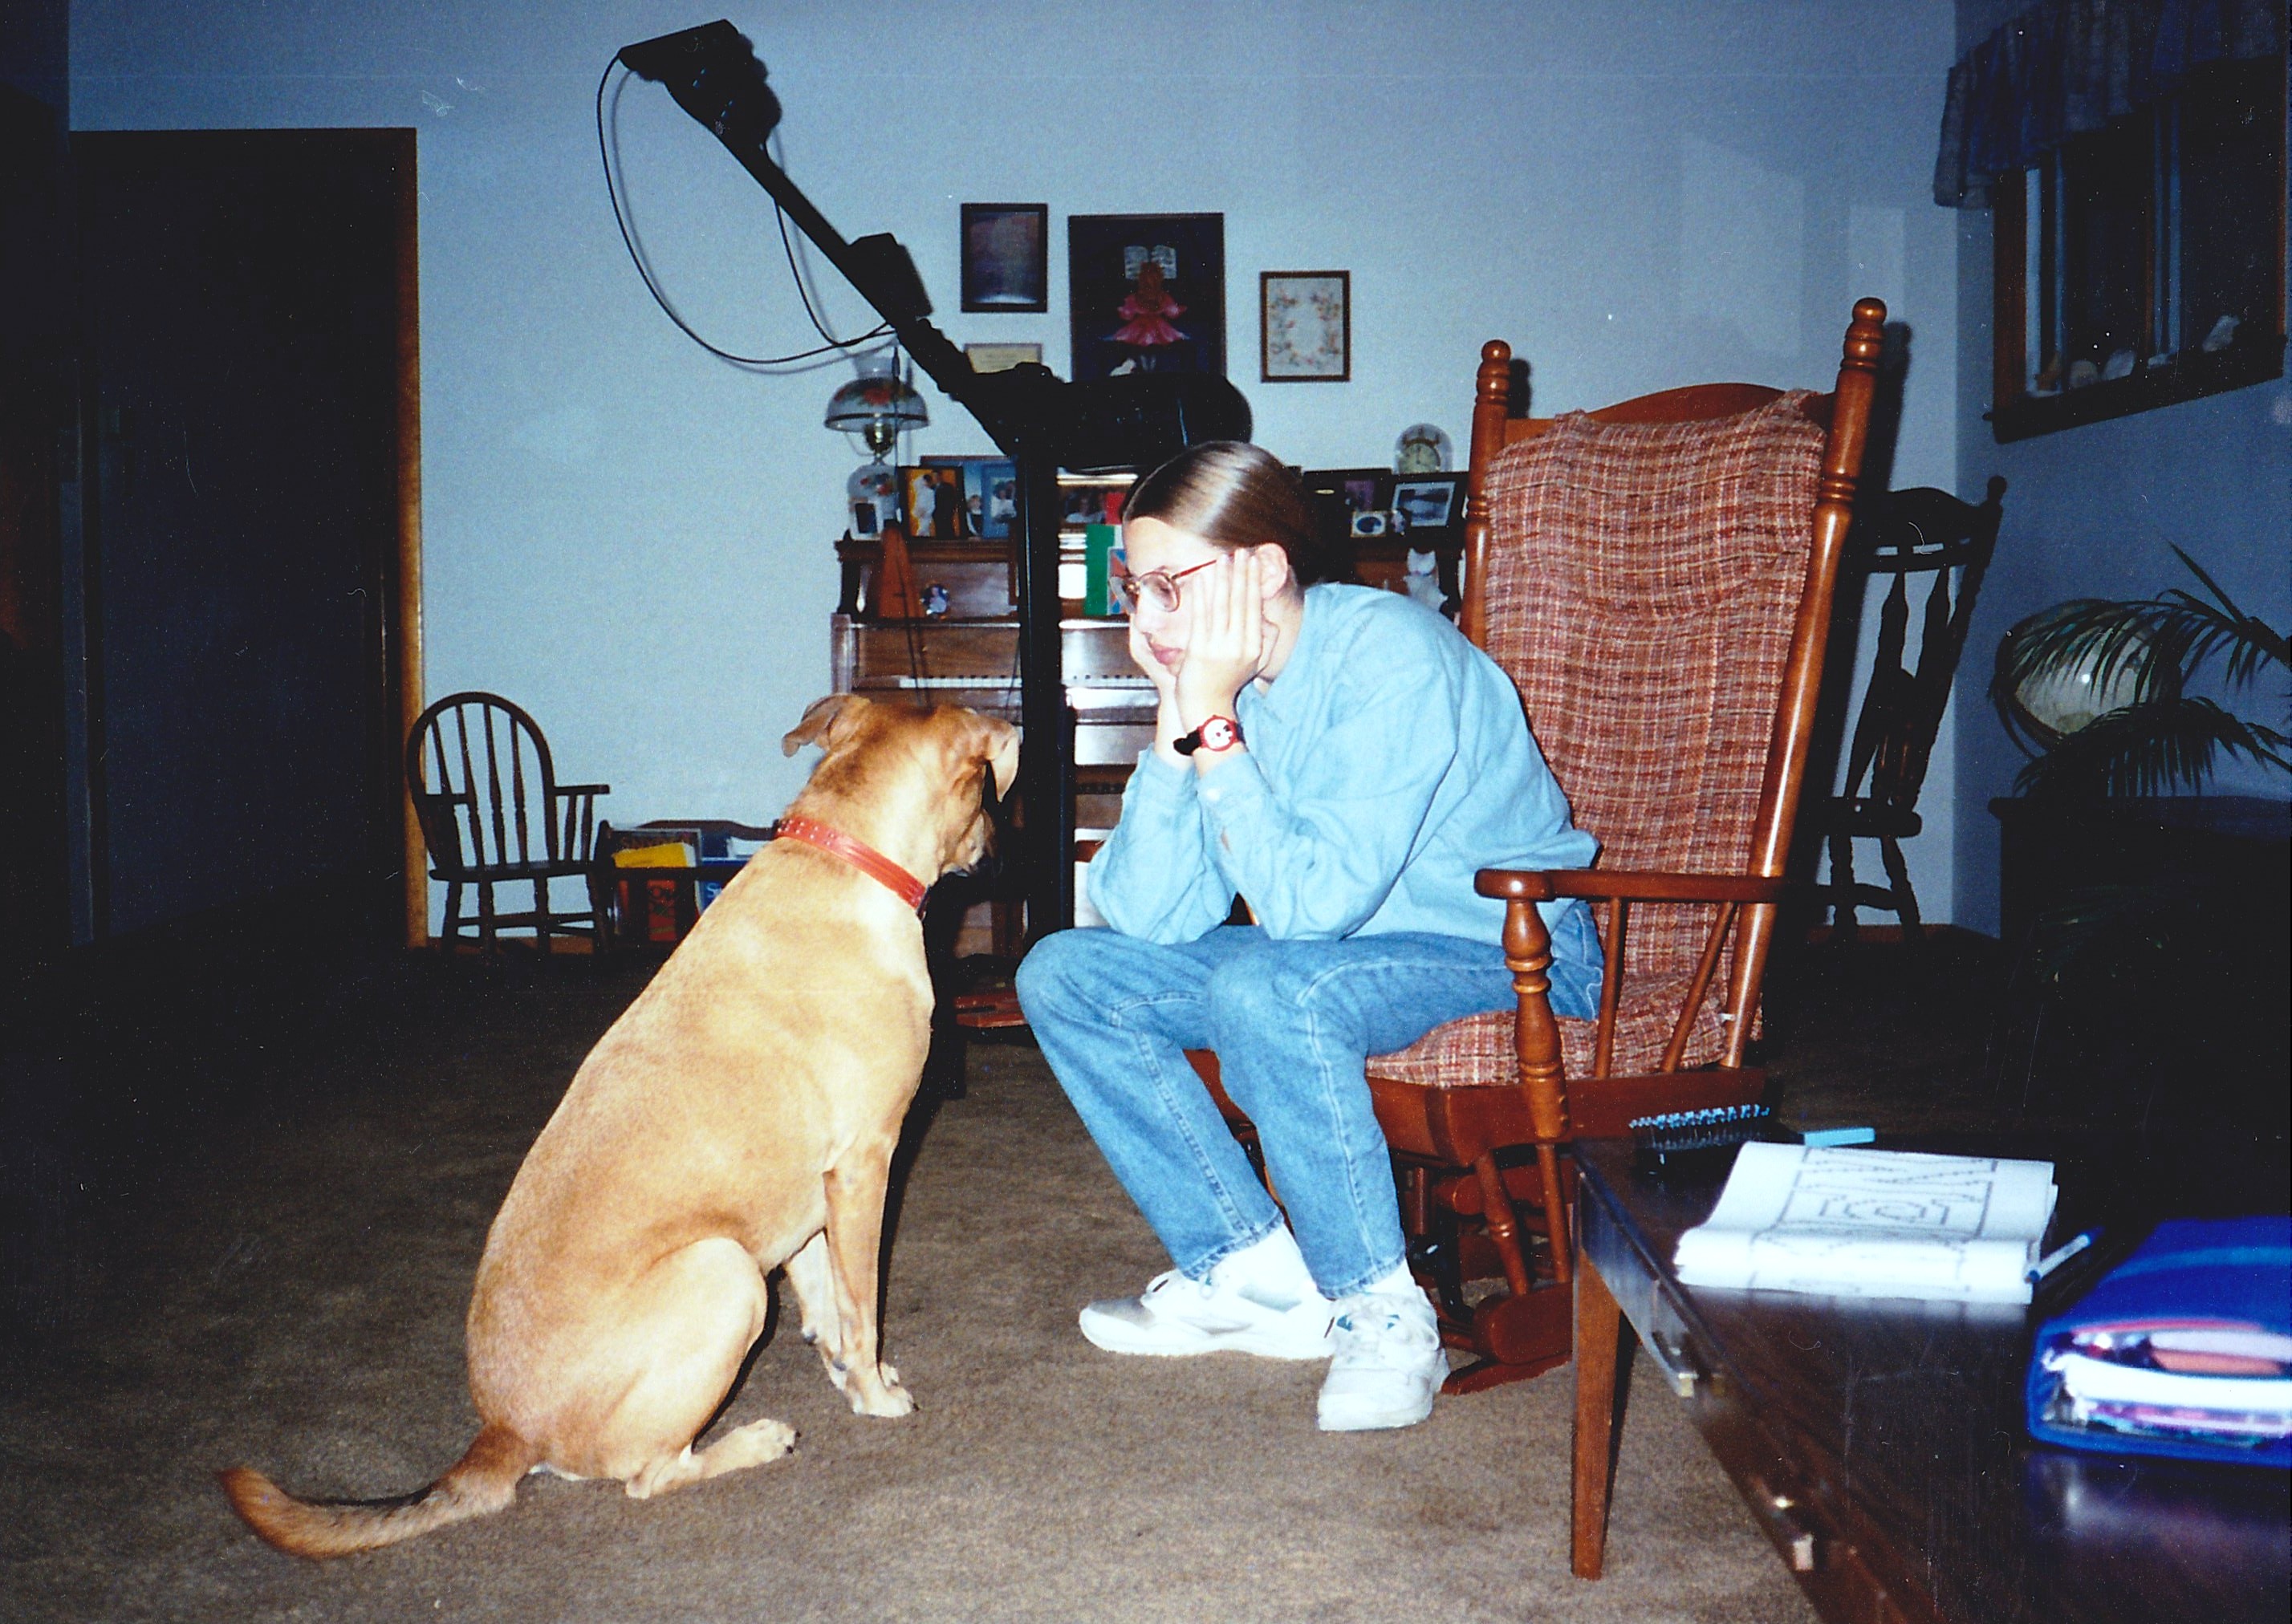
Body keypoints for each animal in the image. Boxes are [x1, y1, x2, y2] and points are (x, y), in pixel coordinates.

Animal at [221, 695, 1018, 1557]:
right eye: (985, 792)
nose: (1000, 842)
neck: (847, 858)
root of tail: (505, 1435)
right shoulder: (867, 1166)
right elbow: (862, 1308)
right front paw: (873, 1394)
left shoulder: (813, 1201)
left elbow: (828, 1303)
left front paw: (844, 1370)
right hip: (727, 1274)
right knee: (651, 1475)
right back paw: (753, 1442)